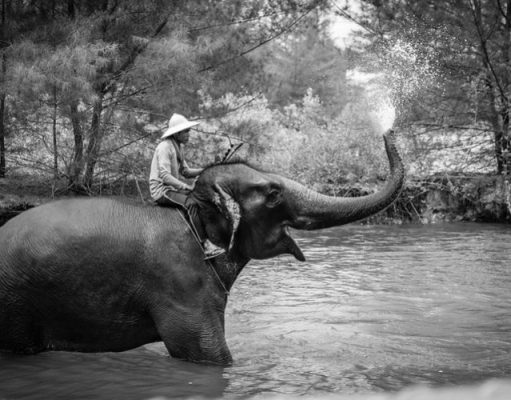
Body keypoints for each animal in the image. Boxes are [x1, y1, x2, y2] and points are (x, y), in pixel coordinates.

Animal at [0, 130, 406, 364]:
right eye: (273, 194)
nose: (389, 128)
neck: (196, 207)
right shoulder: (179, 284)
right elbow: (205, 354)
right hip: (15, 301)